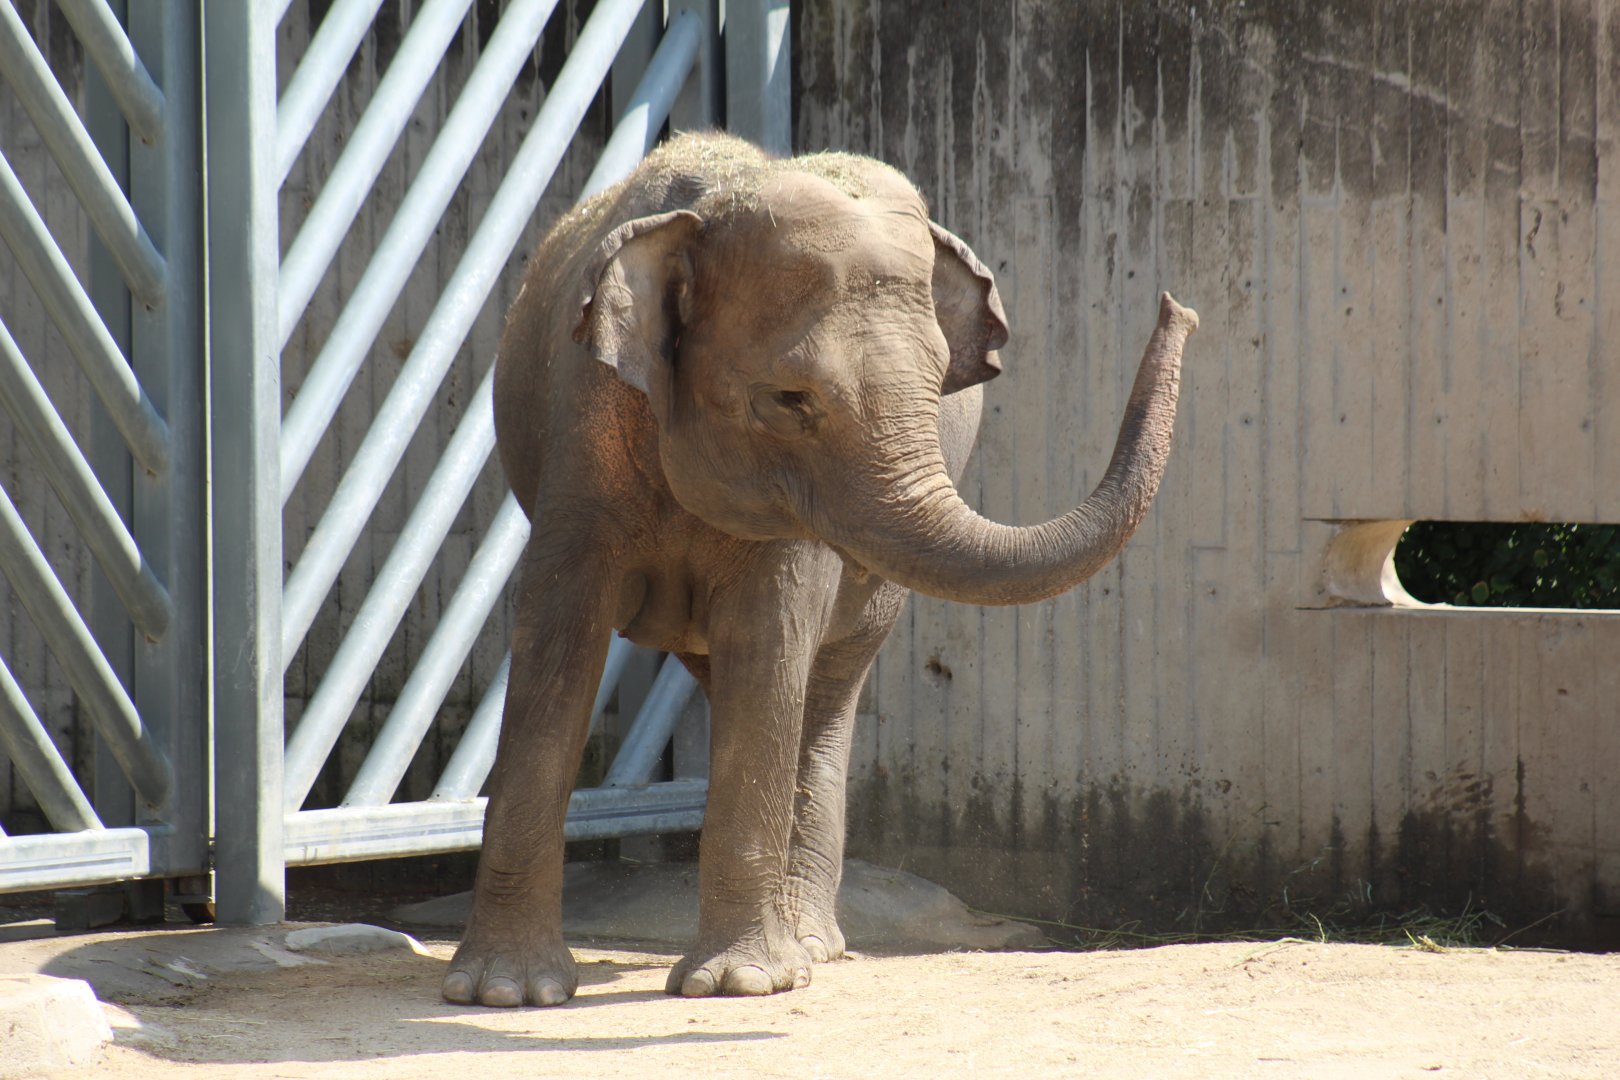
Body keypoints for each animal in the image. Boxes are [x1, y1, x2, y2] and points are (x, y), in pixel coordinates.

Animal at [441, 131, 1198, 1007]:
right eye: (789, 400)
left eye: (940, 380)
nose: (1180, 306)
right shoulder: (581, 430)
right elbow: (556, 642)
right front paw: (504, 993)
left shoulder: (797, 519)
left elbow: (769, 642)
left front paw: (742, 985)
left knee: (826, 688)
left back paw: (809, 944)